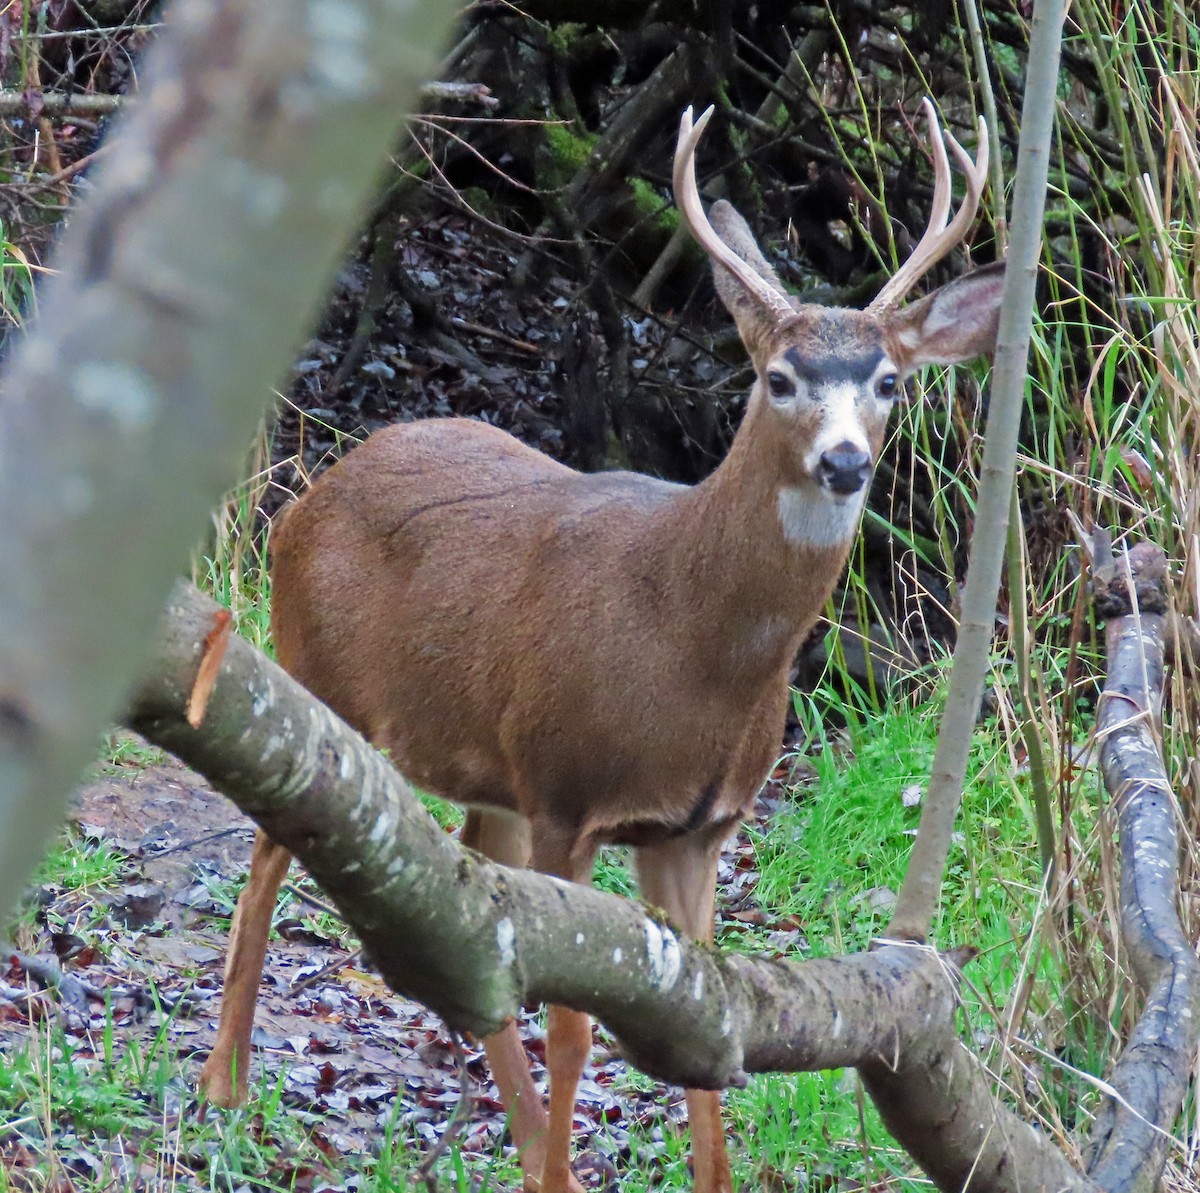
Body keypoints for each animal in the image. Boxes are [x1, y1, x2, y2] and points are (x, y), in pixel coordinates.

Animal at [198, 100, 1004, 1193]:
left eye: (886, 379)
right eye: (779, 377)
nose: (845, 461)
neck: (696, 647)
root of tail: (305, 498)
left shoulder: (695, 826)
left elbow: (712, 1039)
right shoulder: (567, 789)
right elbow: (576, 1029)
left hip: (486, 764)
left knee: (476, 924)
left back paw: (530, 1143)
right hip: (316, 673)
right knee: (269, 854)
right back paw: (224, 1089)